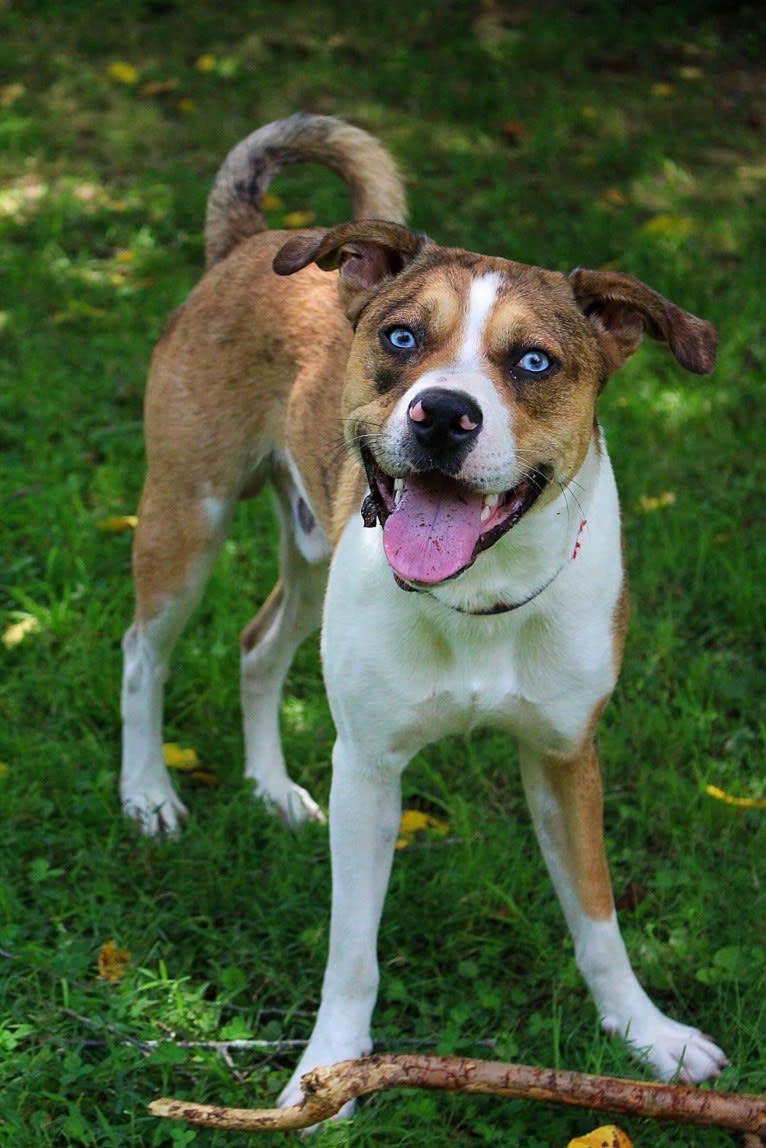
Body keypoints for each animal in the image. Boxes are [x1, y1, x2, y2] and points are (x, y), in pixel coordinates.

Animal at [121, 111, 730, 1106]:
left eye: (535, 361)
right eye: (403, 339)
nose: (442, 414)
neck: (476, 598)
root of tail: (249, 240)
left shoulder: (568, 756)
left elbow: (598, 914)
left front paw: (649, 1037)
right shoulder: (369, 768)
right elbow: (352, 950)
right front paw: (327, 1072)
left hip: (313, 554)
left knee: (256, 645)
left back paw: (270, 789)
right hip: (187, 513)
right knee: (145, 650)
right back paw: (147, 795)